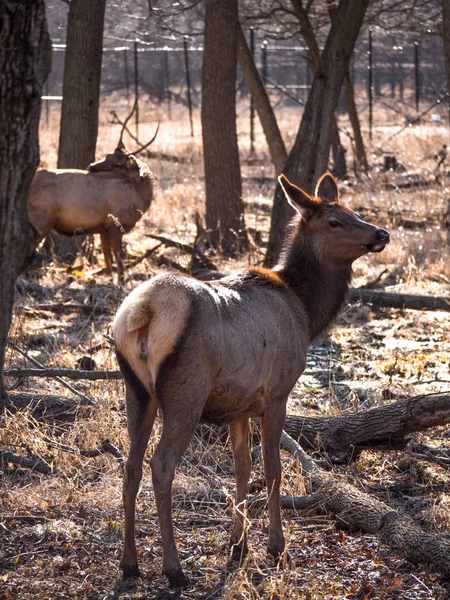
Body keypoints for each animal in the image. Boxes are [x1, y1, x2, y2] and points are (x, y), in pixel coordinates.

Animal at [27, 106, 158, 284]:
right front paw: (121, 283)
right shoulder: (115, 224)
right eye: (108, 155)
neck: (140, 200)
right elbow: (119, 257)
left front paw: (109, 278)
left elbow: (107, 257)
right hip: (41, 218)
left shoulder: (104, 228)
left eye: (118, 164)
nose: (91, 166)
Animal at [113, 171, 390, 588]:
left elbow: (242, 467)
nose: (381, 233)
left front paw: (238, 546)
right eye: (334, 221)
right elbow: (274, 470)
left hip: (136, 389)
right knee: (161, 465)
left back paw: (129, 563)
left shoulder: (238, 403)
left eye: (354, 211)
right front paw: (278, 548)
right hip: (185, 390)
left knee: (131, 465)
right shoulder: (277, 394)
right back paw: (173, 569)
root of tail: (142, 315)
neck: (307, 312)